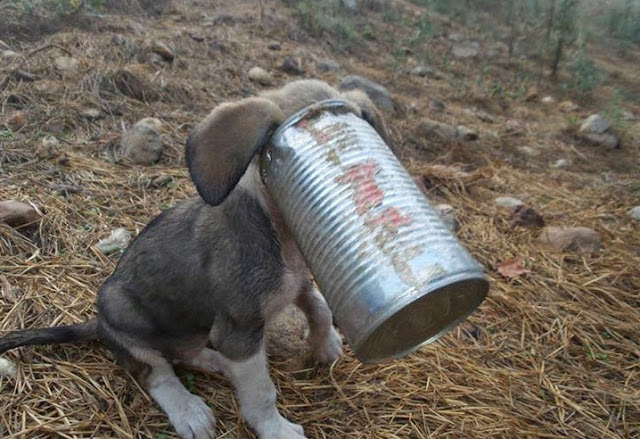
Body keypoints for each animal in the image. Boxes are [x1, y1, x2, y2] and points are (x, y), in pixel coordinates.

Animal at [0, 80, 390, 439]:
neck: (278, 229)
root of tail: (99, 324)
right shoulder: (239, 329)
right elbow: (261, 393)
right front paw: (276, 429)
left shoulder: (296, 283)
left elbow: (319, 305)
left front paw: (327, 343)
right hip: (123, 312)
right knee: (156, 373)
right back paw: (189, 411)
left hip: (193, 328)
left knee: (184, 353)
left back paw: (214, 362)